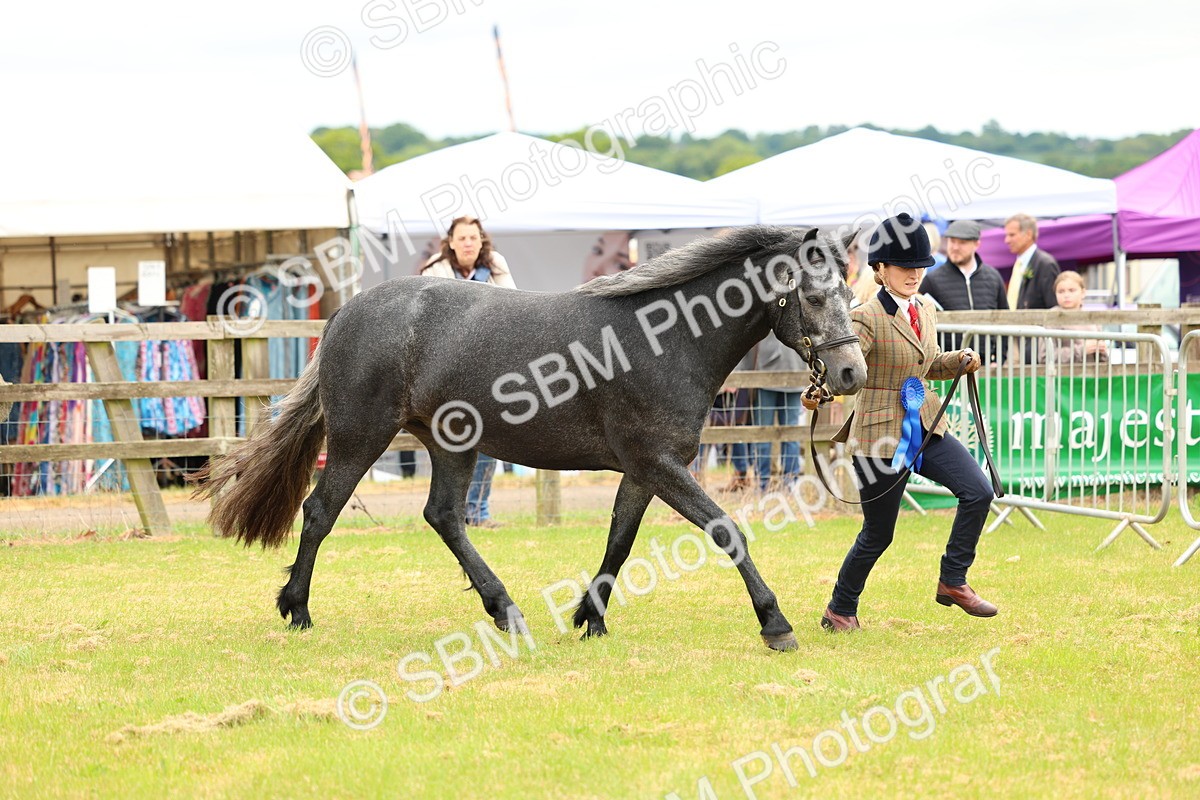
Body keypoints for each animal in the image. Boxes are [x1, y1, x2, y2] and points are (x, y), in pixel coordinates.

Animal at [195, 225, 868, 651]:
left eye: (848, 291)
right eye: (812, 295)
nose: (851, 373)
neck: (665, 337)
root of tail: (345, 313)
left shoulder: (646, 468)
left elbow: (619, 542)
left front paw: (590, 619)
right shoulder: (658, 463)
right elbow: (727, 530)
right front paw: (775, 624)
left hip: (452, 446)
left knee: (444, 517)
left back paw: (506, 612)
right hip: (362, 438)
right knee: (320, 512)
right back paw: (298, 609)